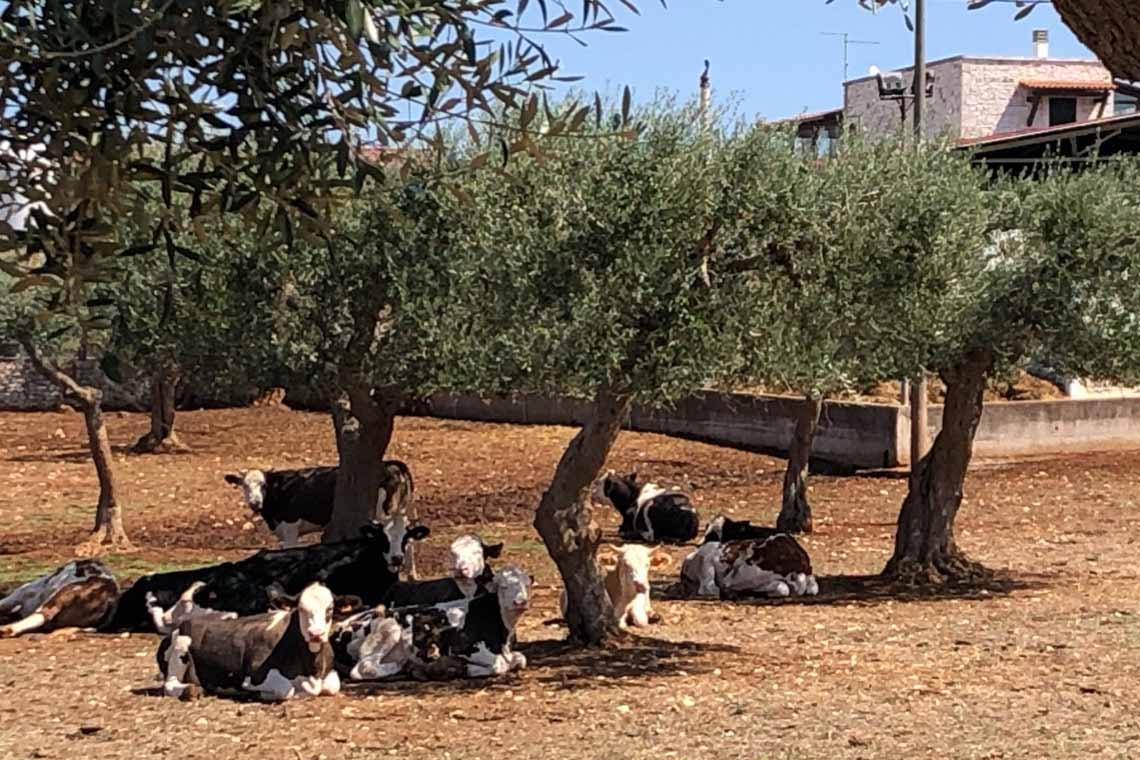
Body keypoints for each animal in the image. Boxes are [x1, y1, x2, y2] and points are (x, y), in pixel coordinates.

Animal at [158, 583, 339, 701]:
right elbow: (286, 689)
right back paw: (191, 690)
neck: (312, 671)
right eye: (301, 609)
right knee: (170, 685)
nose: (316, 634)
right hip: (181, 647)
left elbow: (333, 685)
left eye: (330, 609)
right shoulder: (253, 675)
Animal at [222, 460, 414, 549]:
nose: (255, 502)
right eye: (245, 485)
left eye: (264, 485)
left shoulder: (291, 526)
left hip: (384, 513)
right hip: (400, 510)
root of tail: (389, 463)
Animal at [332, 565, 533, 683]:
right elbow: (499, 664)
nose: (520, 602)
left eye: (526, 585)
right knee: (363, 668)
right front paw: (464, 669)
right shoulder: (462, 648)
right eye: (503, 586)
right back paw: (401, 667)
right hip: (388, 629)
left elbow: (520, 659)